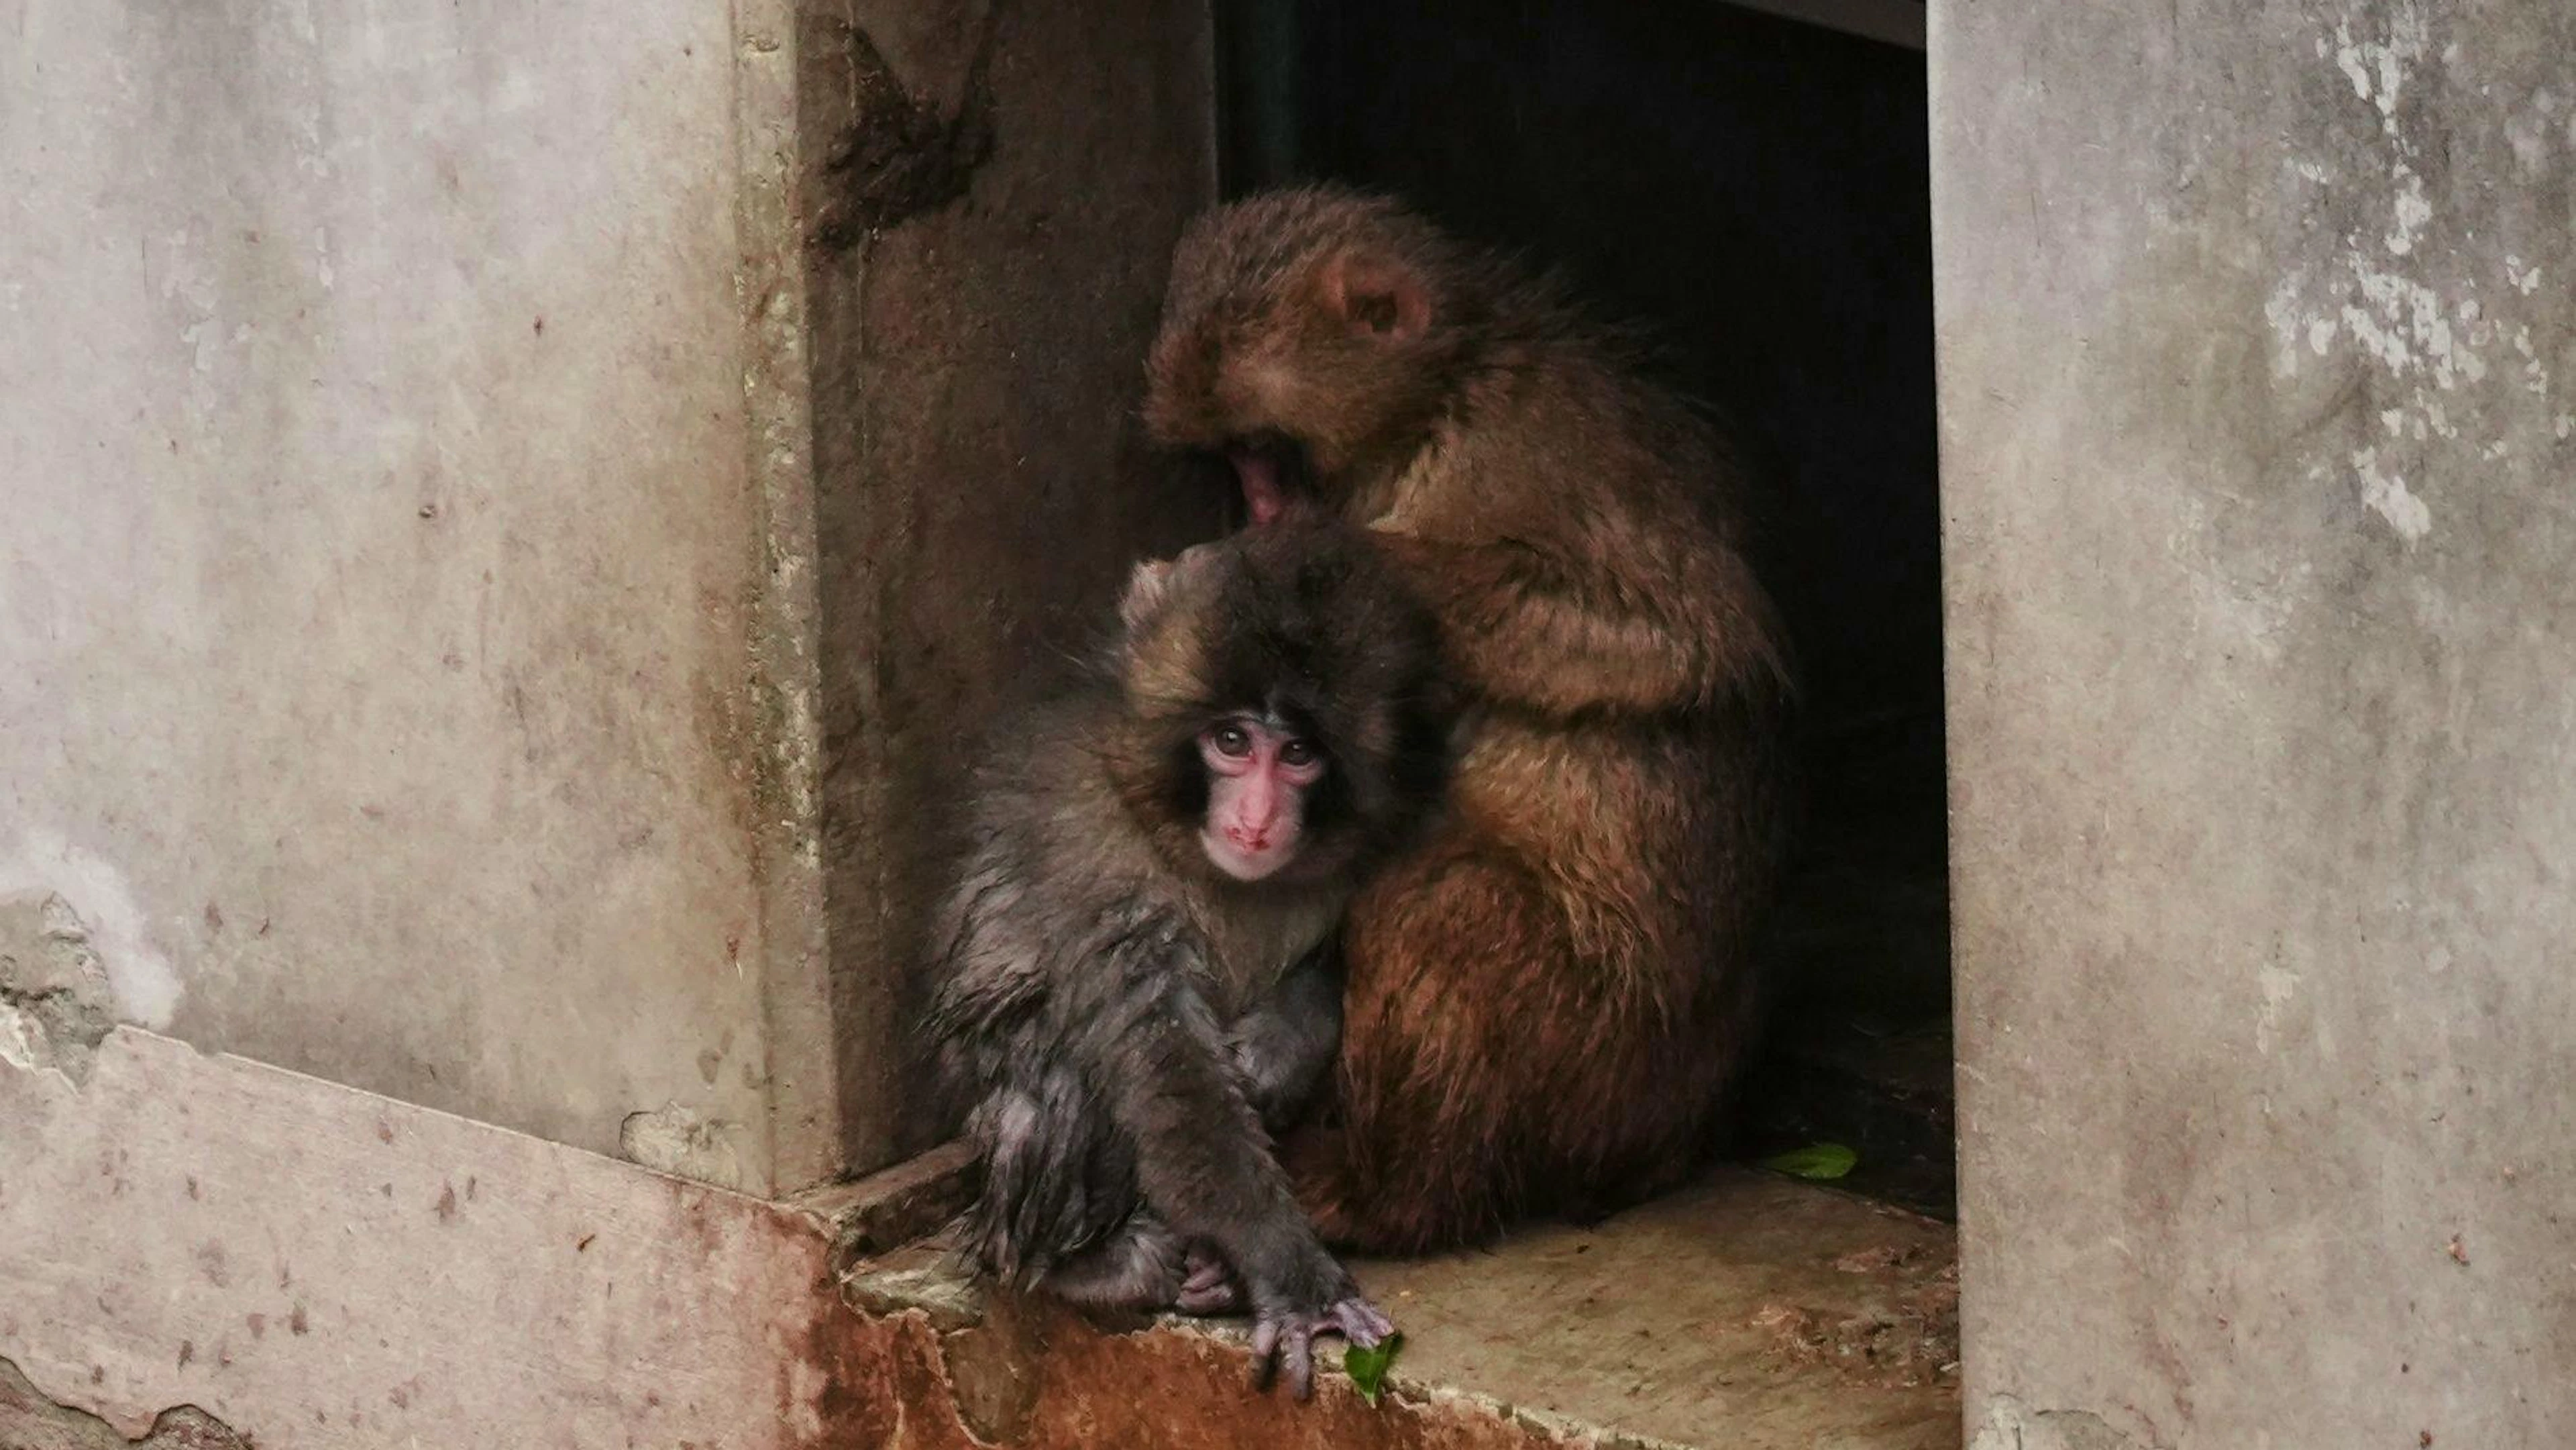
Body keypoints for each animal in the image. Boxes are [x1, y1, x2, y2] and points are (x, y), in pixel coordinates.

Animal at [922, 515, 1453, 1399]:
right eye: (1232, 740)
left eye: (1299, 752)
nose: (1256, 818)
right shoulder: (1095, 851)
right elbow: (1170, 1073)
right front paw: (1292, 1274)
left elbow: (1336, 961)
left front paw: (1278, 1046)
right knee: (1051, 1082)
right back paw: (1102, 1268)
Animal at [1142, 184, 1797, 1255]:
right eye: (1238, 461)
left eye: (1272, 453)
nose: (1260, 506)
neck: (1442, 398)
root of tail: (1671, 1144)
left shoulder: (1528, 446)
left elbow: (1681, 642)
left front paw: (1342, 561)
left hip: (1594, 1057)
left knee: (1439, 906)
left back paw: (1385, 1196)